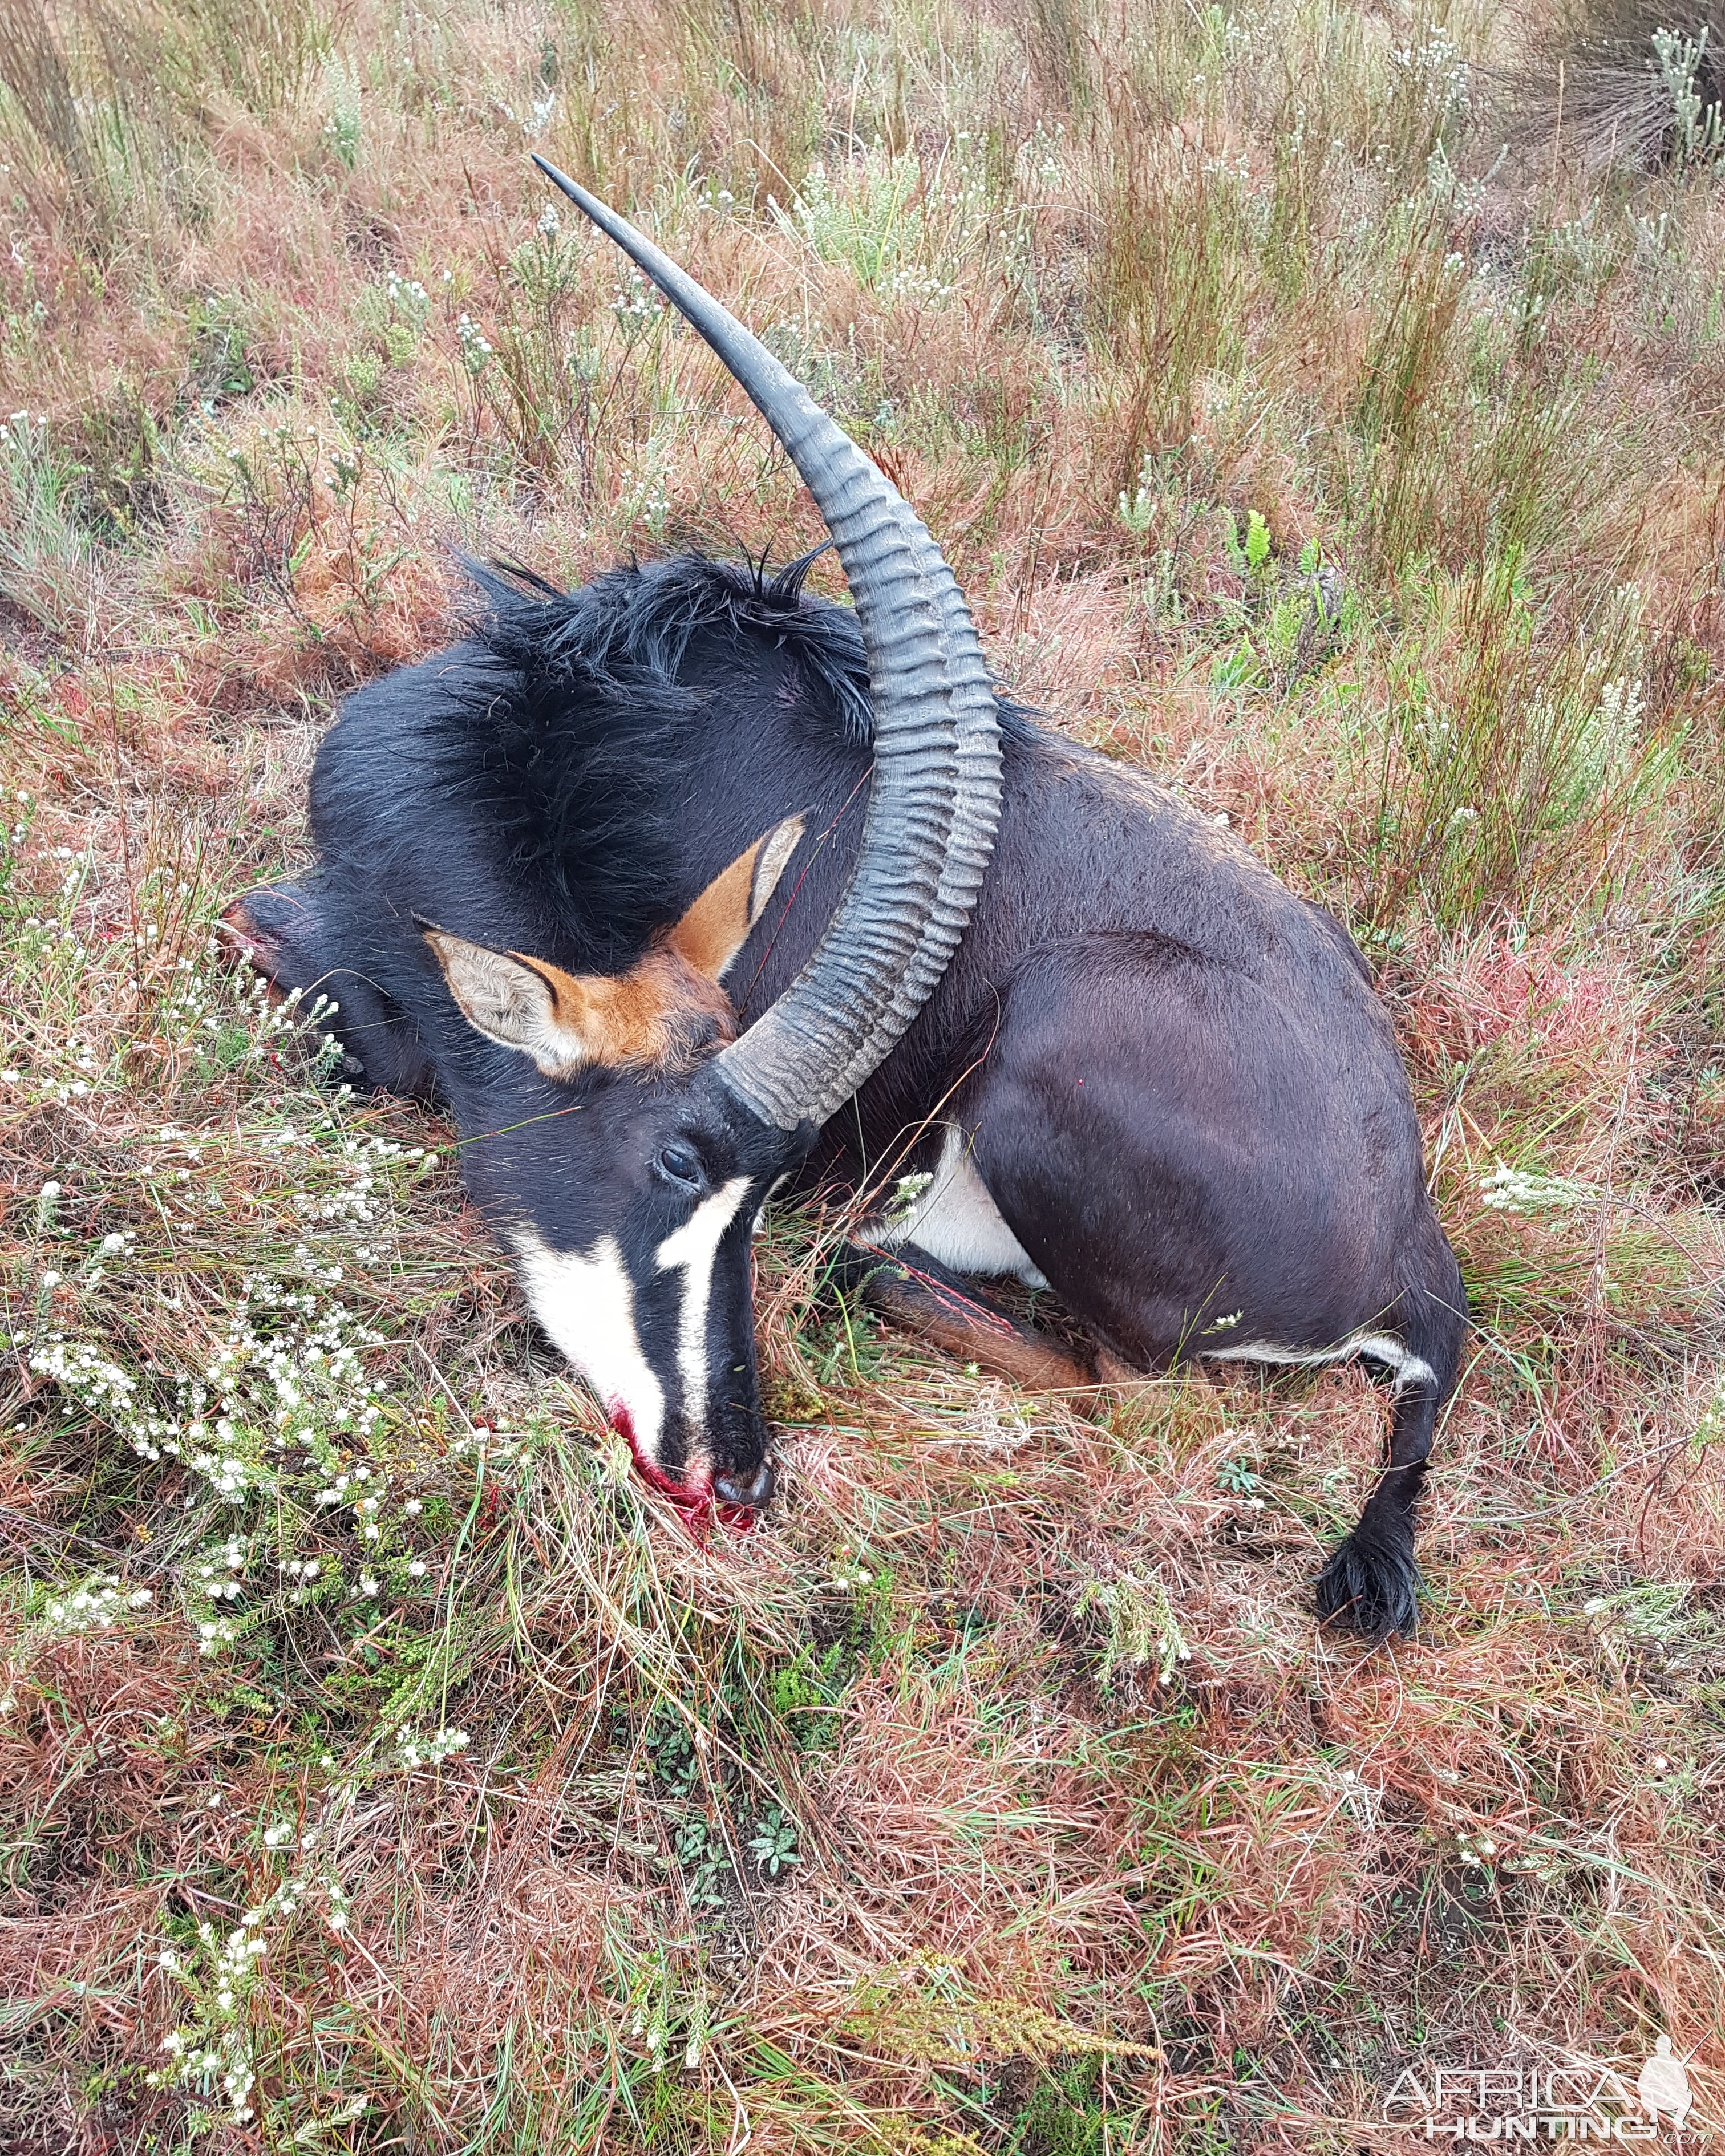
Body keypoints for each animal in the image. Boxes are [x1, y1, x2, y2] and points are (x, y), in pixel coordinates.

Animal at [225, 159, 1466, 1630]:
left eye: (759, 1185)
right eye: (676, 1159)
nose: (734, 1474)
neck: (554, 747)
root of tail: (1414, 1251)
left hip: (1059, 1036)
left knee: (1143, 1398)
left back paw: (877, 1260)